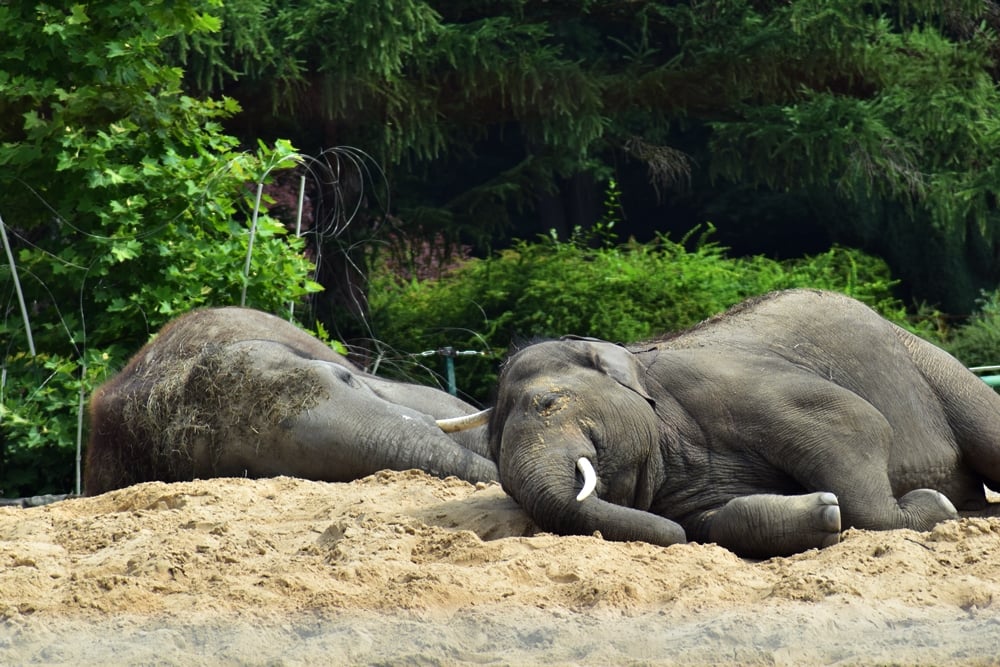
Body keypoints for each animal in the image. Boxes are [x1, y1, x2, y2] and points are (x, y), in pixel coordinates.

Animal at [488, 290, 1000, 560]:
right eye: (495, 461)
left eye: (549, 402)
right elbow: (717, 523)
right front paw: (823, 512)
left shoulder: (738, 385)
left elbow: (856, 421)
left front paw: (933, 506)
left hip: (933, 365)